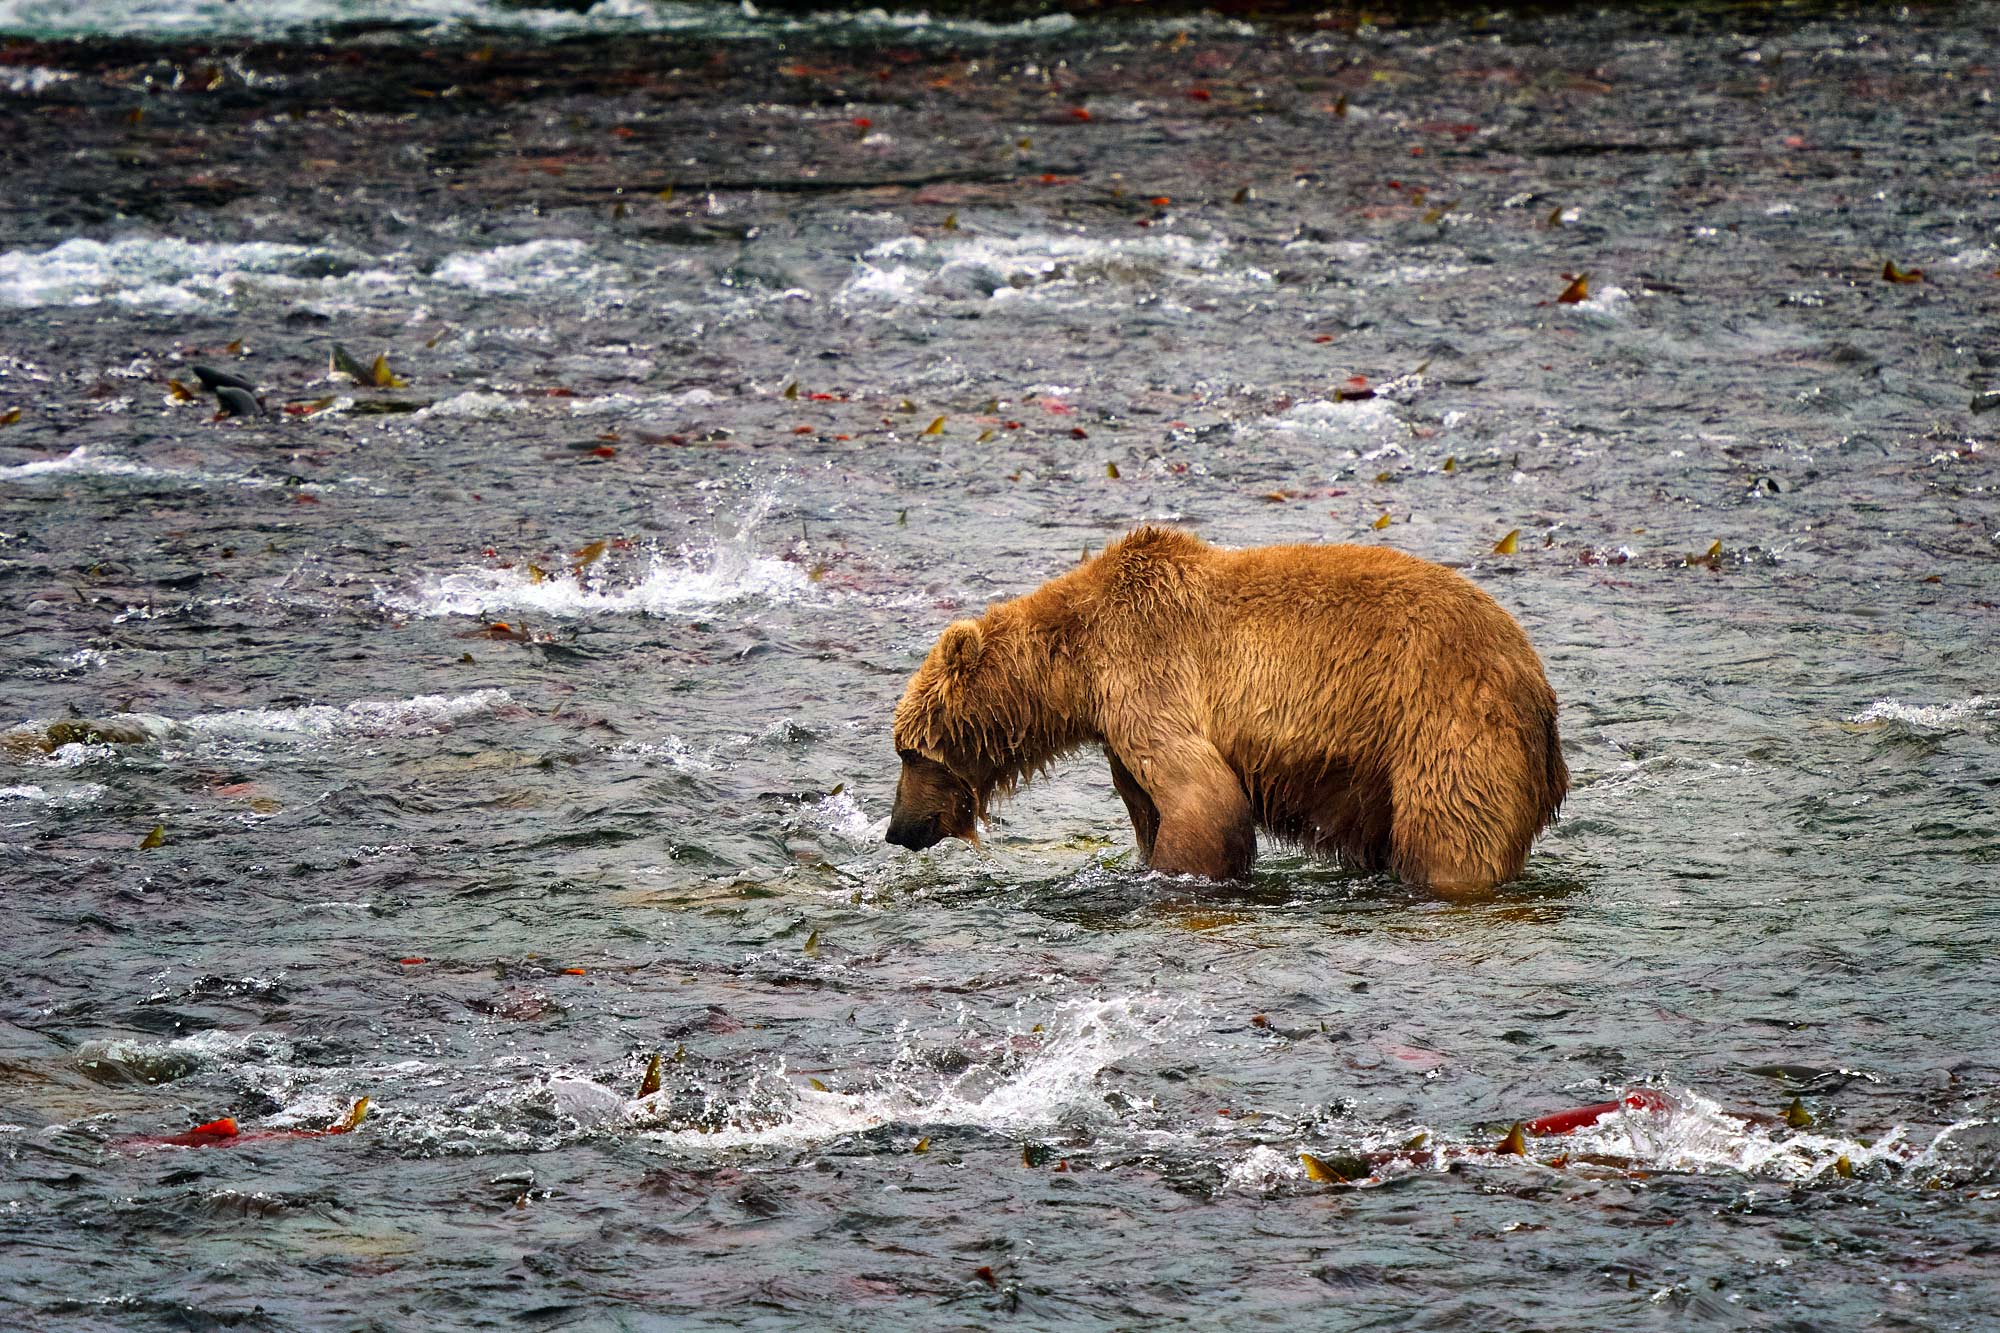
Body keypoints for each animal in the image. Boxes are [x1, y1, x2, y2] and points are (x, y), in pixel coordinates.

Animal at [886, 525, 1567, 895]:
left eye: (910, 752)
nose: (898, 829)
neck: (1076, 668)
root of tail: (1538, 685)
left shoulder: (1146, 673)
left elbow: (1204, 801)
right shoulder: (1118, 731)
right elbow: (1152, 808)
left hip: (1448, 725)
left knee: (1451, 835)